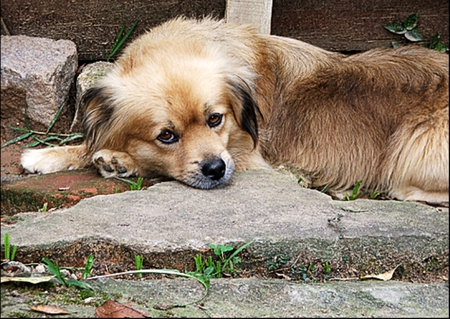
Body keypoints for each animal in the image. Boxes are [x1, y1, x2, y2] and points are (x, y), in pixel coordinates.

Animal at [22, 16, 450, 204]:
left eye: (215, 119)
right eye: (166, 135)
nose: (215, 169)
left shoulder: (252, 160)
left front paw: (119, 159)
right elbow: (88, 141)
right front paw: (49, 155)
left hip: (417, 144)